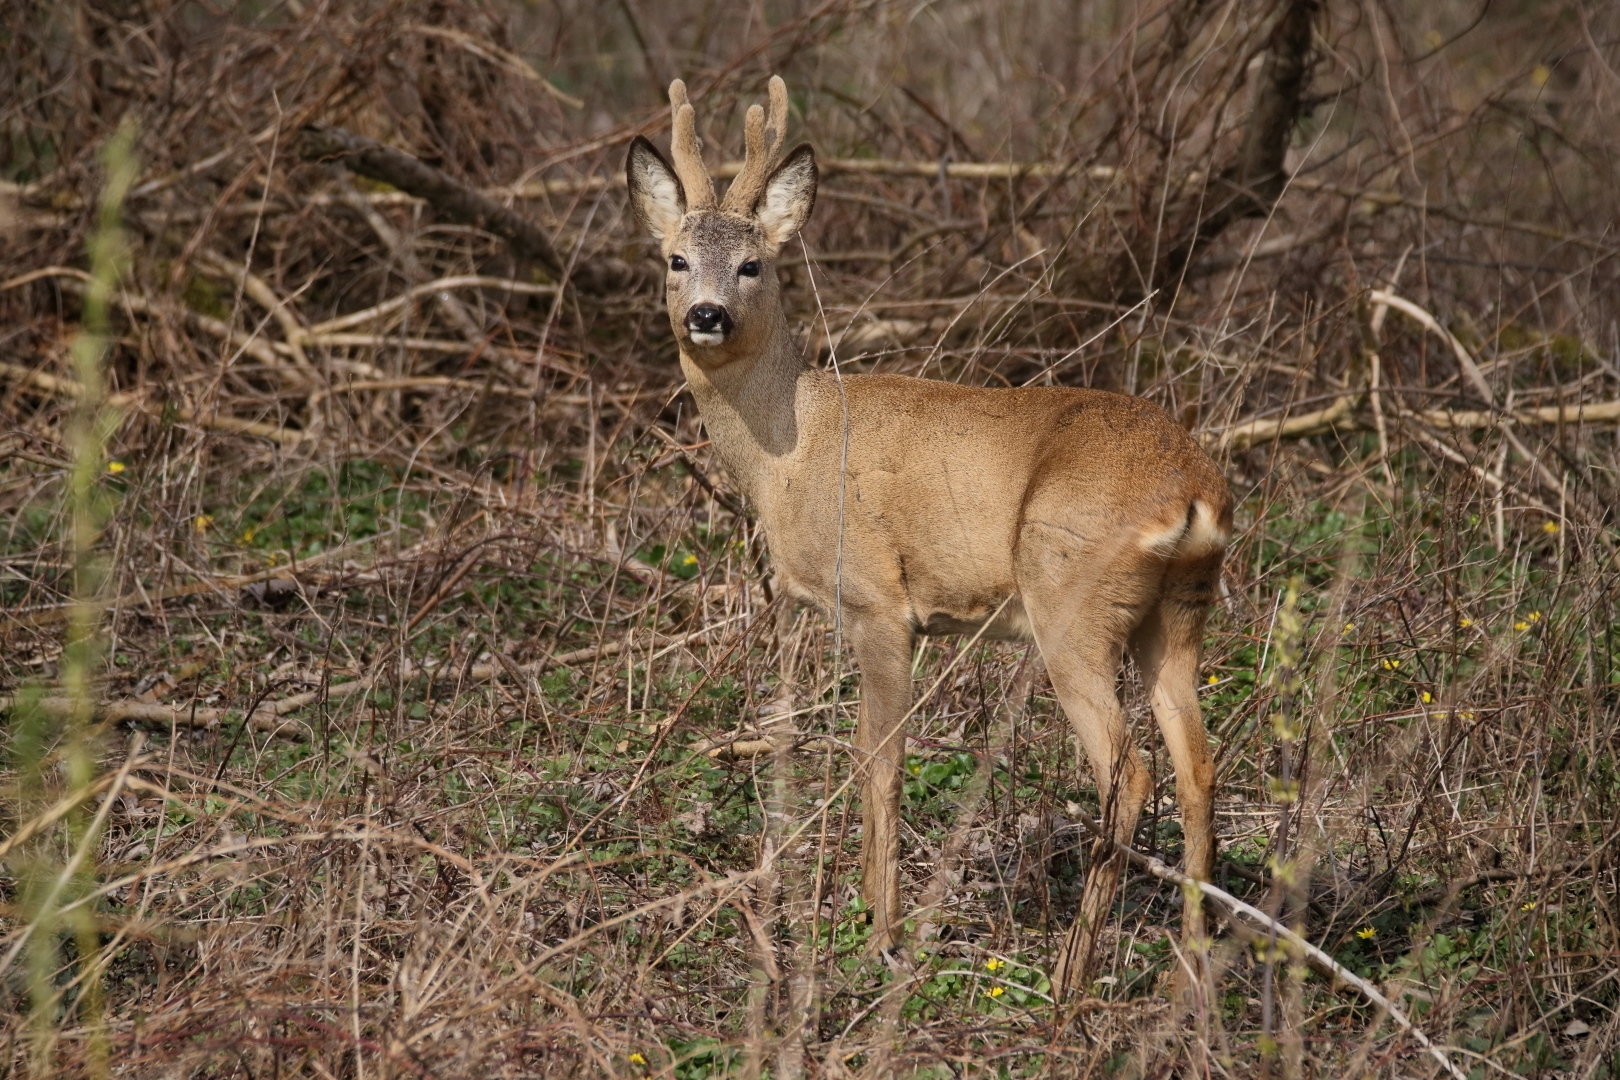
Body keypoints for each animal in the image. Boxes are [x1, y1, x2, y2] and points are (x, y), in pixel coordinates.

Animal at [622, 78, 1224, 1003]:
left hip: (1070, 606)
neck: (792, 447)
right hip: (1179, 616)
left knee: (1131, 773)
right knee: (1198, 768)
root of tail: (1191, 489)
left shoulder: (879, 602)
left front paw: (880, 936)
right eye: (676, 260)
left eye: (755, 263)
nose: (707, 315)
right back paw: (1188, 977)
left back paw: (1068, 980)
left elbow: (881, 761)